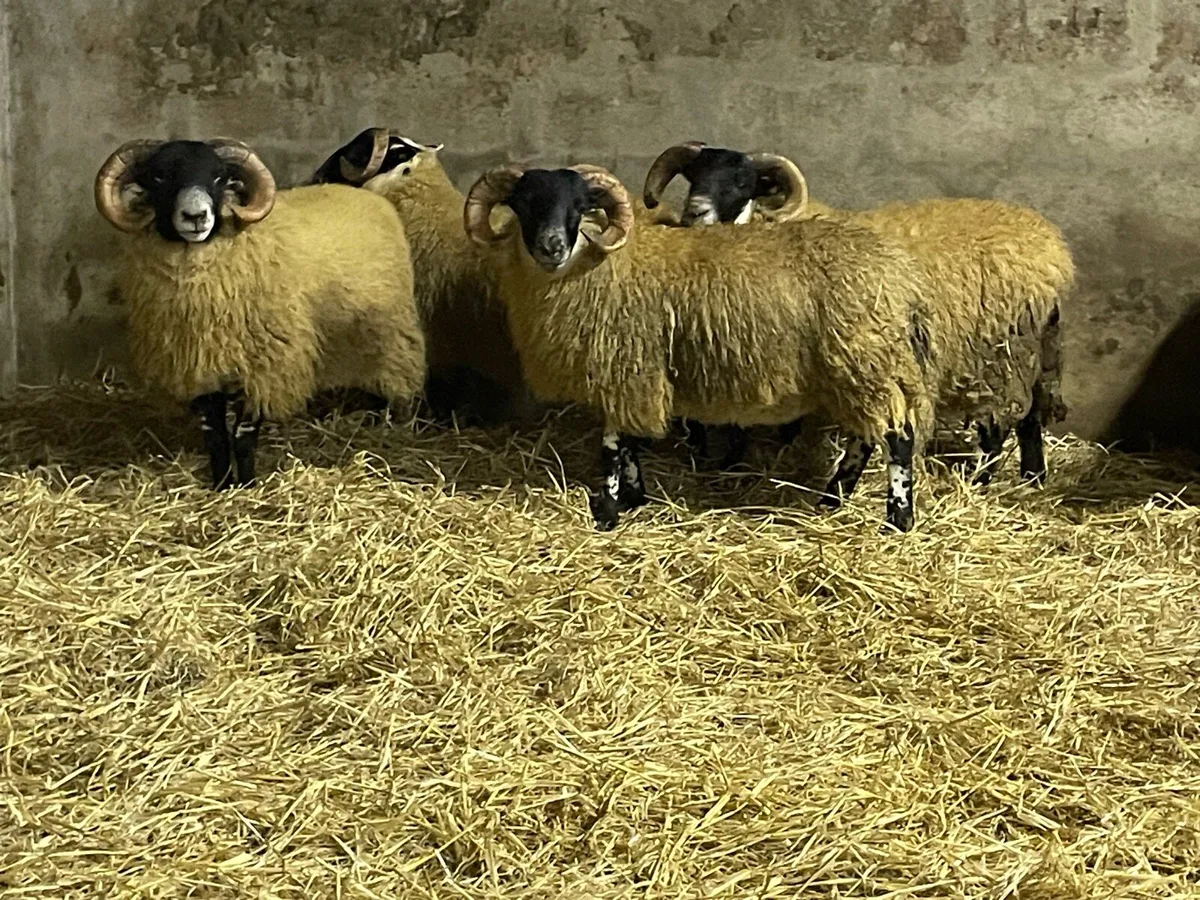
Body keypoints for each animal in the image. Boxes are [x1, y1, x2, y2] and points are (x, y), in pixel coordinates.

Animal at [95, 137, 425, 489]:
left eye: (219, 178)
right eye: (158, 178)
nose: (196, 216)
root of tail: (362, 193)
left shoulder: (262, 368)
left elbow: (243, 435)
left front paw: (247, 484)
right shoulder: (199, 369)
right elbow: (215, 435)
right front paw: (222, 485)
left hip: (392, 336)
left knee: (400, 385)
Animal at [463, 163, 938, 532]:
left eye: (580, 206)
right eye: (524, 203)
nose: (551, 247)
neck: (602, 263)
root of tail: (900, 273)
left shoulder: (625, 367)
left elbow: (613, 446)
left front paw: (609, 513)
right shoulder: (633, 373)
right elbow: (628, 444)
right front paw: (634, 498)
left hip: (865, 359)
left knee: (897, 437)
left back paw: (896, 519)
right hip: (858, 368)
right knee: (867, 436)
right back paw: (832, 499)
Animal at [643, 141, 1072, 487]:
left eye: (740, 182)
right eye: (694, 176)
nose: (695, 212)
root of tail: (1053, 250)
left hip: (997, 355)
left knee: (1002, 422)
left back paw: (979, 481)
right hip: (1032, 348)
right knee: (1032, 416)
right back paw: (1033, 477)